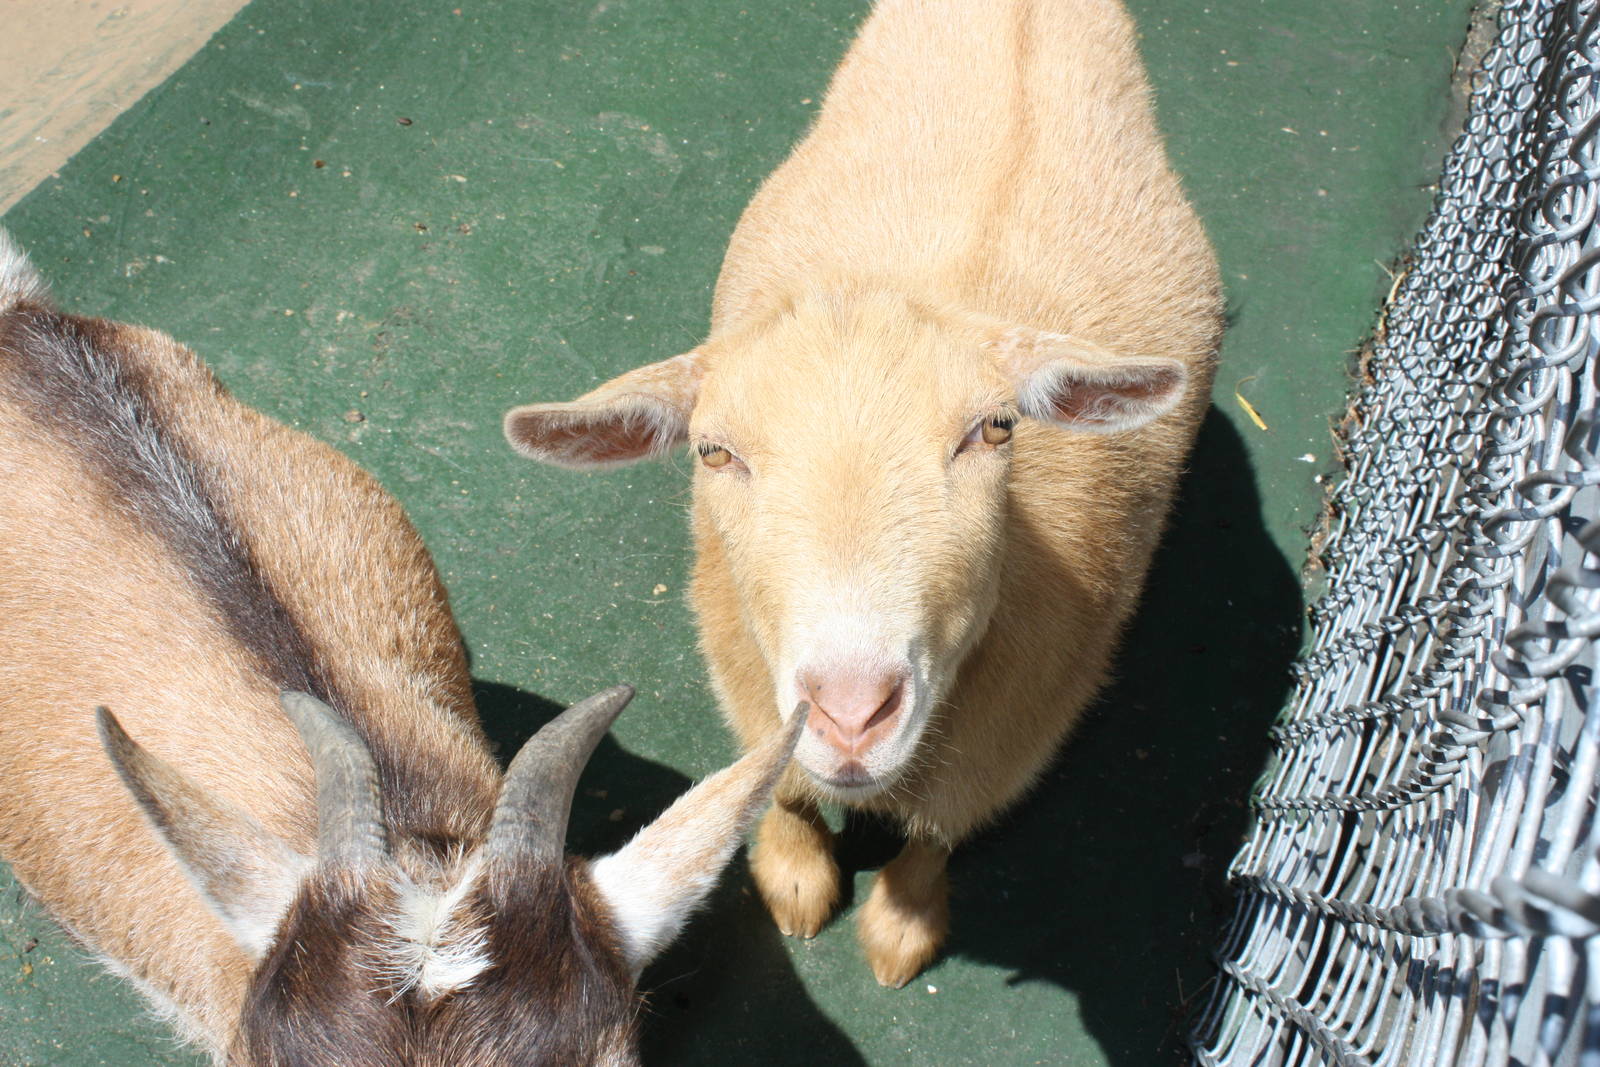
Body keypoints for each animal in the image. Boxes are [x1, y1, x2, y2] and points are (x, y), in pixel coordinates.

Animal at [503, 0, 1222, 986]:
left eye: (994, 429)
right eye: (714, 450)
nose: (849, 713)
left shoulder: (1015, 732)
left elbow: (939, 833)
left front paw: (903, 924)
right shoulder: (747, 678)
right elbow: (785, 789)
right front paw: (796, 877)